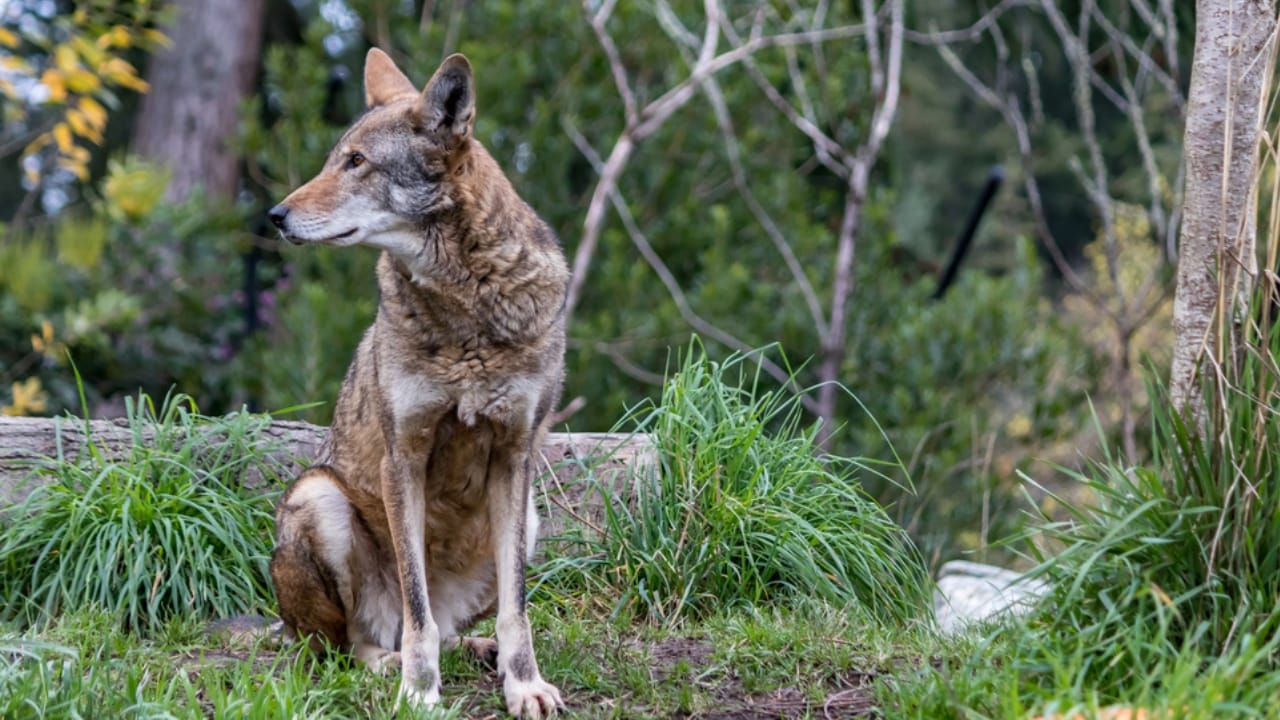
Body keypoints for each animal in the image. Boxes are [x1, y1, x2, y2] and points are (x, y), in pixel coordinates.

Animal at [265, 48, 567, 718]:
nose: (274, 216)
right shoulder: (403, 456)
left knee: (454, 626)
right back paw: (388, 663)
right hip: (317, 499)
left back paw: (475, 648)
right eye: (335, 158)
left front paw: (523, 685)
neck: (467, 308)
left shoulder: (516, 456)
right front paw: (418, 692)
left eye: (356, 162)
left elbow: (517, 611)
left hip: (532, 518)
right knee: (353, 642)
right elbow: (417, 608)